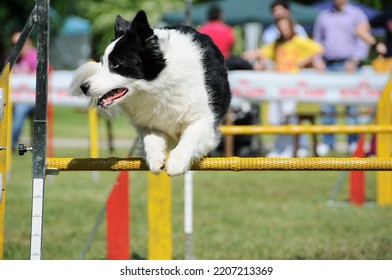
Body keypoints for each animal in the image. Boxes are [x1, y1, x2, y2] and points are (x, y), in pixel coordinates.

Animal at [69, 11, 231, 177]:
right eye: (102, 63)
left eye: (115, 65)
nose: (84, 87)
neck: (158, 86)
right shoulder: (150, 123)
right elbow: (150, 140)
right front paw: (155, 160)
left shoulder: (203, 119)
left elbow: (190, 138)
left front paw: (177, 163)